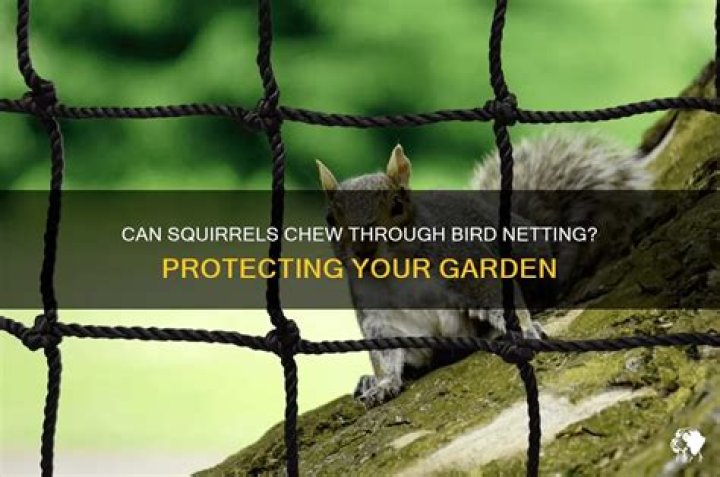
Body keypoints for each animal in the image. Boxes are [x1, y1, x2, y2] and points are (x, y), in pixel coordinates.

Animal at [315, 130, 656, 408]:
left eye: (397, 206)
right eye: (330, 220)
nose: (363, 251)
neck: (398, 273)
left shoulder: (470, 268)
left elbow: (499, 300)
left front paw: (525, 329)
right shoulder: (381, 316)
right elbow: (388, 353)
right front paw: (384, 383)